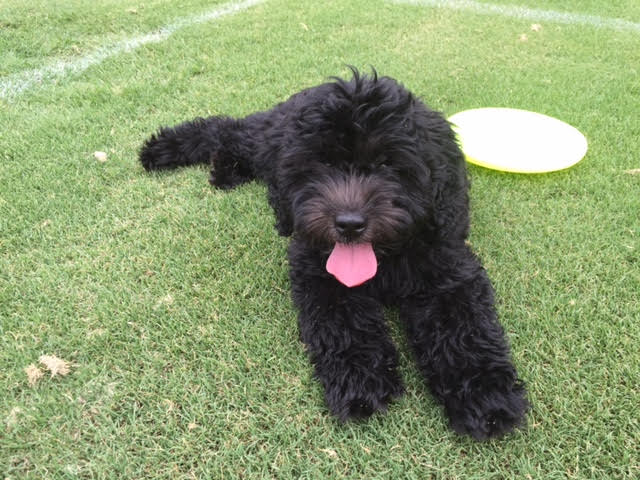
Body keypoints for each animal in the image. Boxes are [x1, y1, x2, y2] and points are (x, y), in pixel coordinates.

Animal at [141, 69, 528, 440]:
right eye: (323, 164)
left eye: (388, 164)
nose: (349, 224)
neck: (385, 260)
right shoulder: (318, 270)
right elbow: (344, 324)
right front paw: (361, 382)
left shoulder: (449, 268)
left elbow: (464, 330)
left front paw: (486, 397)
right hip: (267, 141)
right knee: (230, 128)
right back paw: (164, 149)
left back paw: (221, 168)